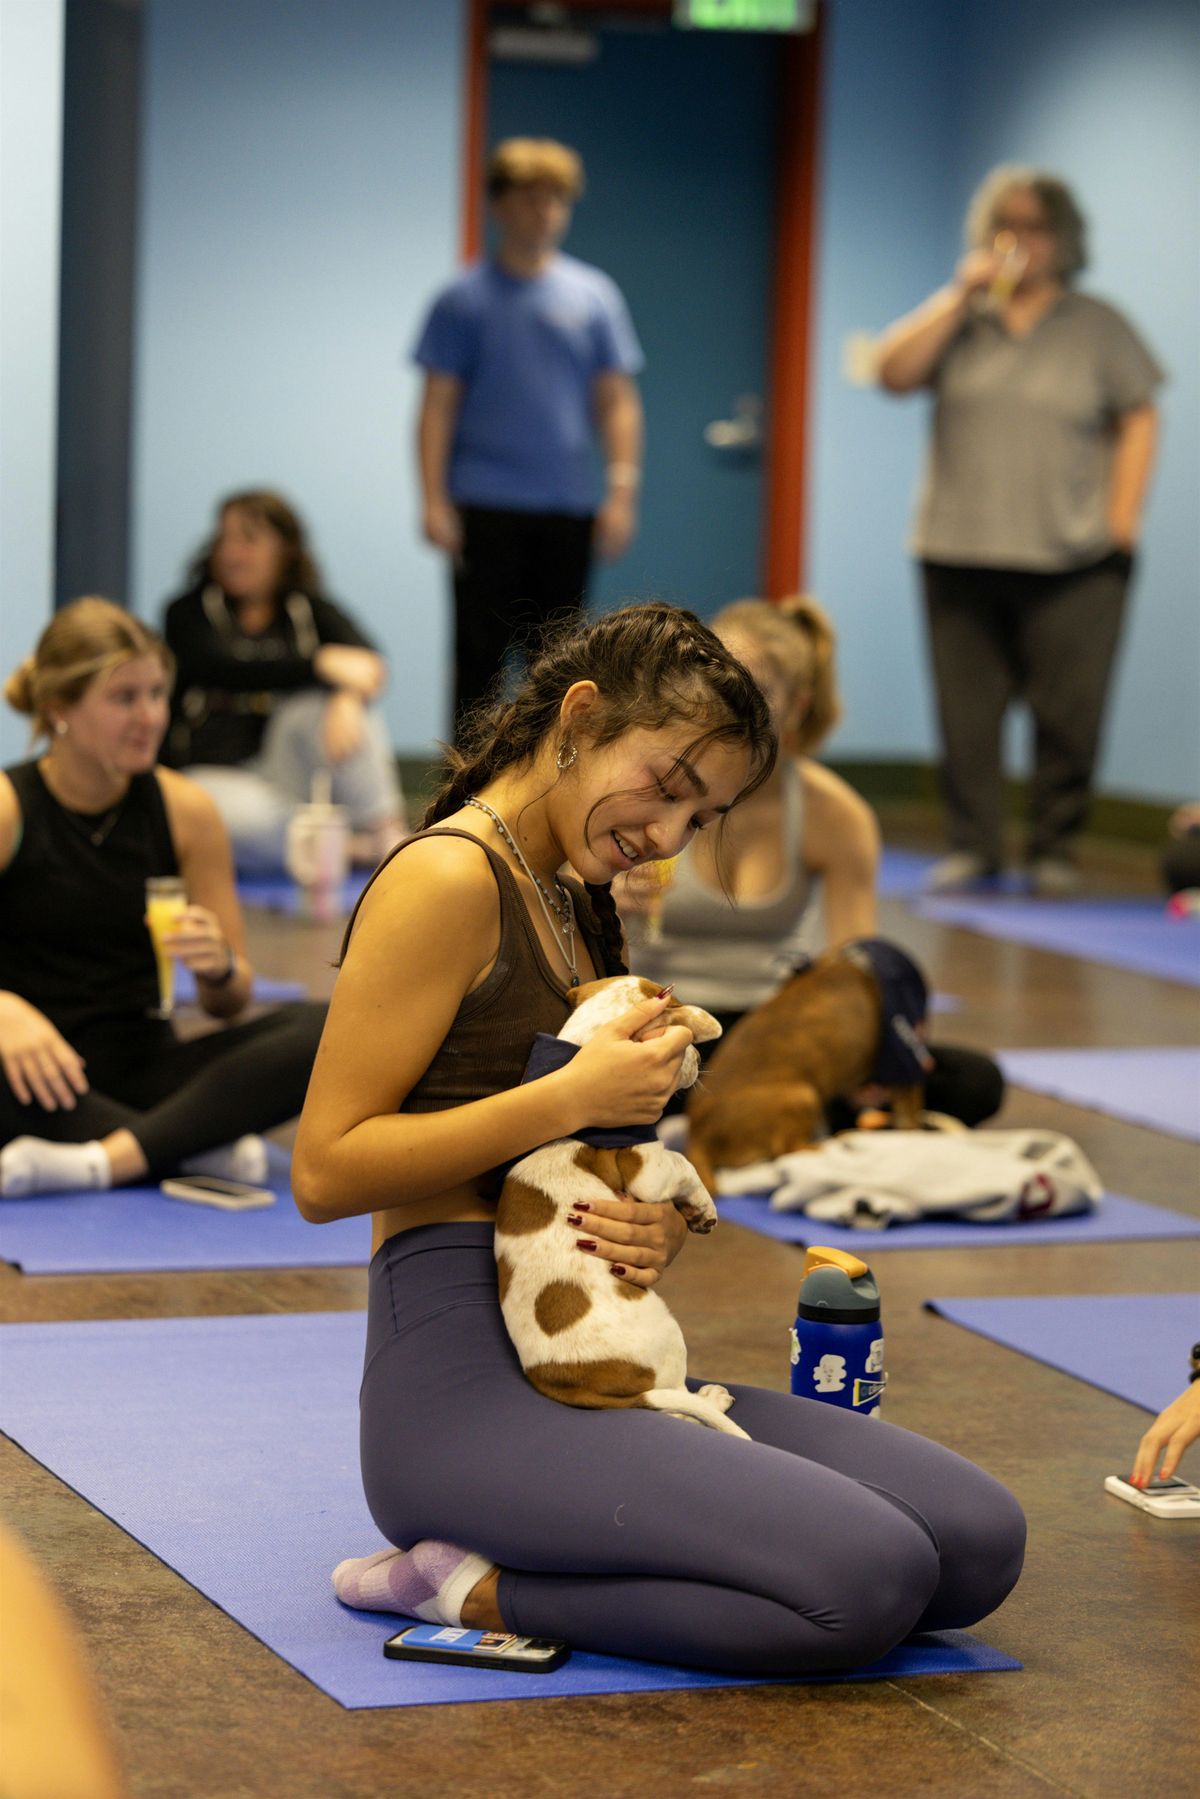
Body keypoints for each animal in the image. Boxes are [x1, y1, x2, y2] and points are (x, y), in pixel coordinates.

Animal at [492, 978, 744, 1439]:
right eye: (683, 1044)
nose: (698, 1058)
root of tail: (581, 1388)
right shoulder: (648, 1168)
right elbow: (684, 1162)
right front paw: (703, 1208)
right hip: (666, 1333)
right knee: (678, 1404)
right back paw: (711, 1399)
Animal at [683, 942, 928, 1194]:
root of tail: (698, 1136)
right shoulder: (906, 1069)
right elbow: (910, 1120)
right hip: (803, 1094)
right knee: (788, 1151)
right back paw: (829, 1145)